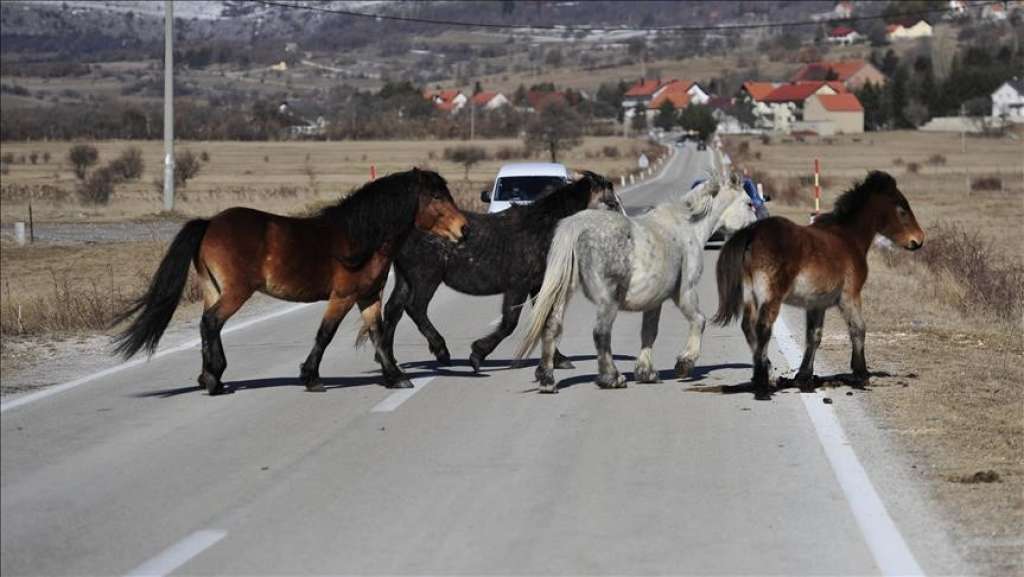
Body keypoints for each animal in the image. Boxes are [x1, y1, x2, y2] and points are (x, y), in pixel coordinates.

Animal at [112, 166, 468, 393]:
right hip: (236, 292)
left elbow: (378, 335)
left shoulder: (368, 297)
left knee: (207, 324)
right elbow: (325, 334)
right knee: (211, 323)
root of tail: (210, 223)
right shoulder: (343, 296)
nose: (463, 229)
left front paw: (395, 376)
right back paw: (214, 380)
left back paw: (210, 377)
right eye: (436, 196)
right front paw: (311, 378)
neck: (361, 238)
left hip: (214, 290)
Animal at [516, 148, 757, 393]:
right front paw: (684, 363)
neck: (687, 227)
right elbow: (699, 320)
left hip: (564, 292)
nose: (755, 232)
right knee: (601, 333)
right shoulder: (685, 291)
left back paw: (547, 379)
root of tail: (576, 225)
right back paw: (612, 378)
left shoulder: (655, 300)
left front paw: (646, 372)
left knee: (551, 326)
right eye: (749, 203)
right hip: (608, 300)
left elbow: (649, 331)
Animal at [712, 171, 929, 395]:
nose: (918, 239)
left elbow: (814, 336)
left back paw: (762, 374)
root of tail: (752, 233)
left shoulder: (817, 304)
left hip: (749, 294)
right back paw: (764, 382)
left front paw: (804, 377)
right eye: (902, 210)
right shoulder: (850, 295)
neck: (848, 238)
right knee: (763, 327)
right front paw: (861, 373)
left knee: (748, 326)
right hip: (770, 296)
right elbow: (858, 328)